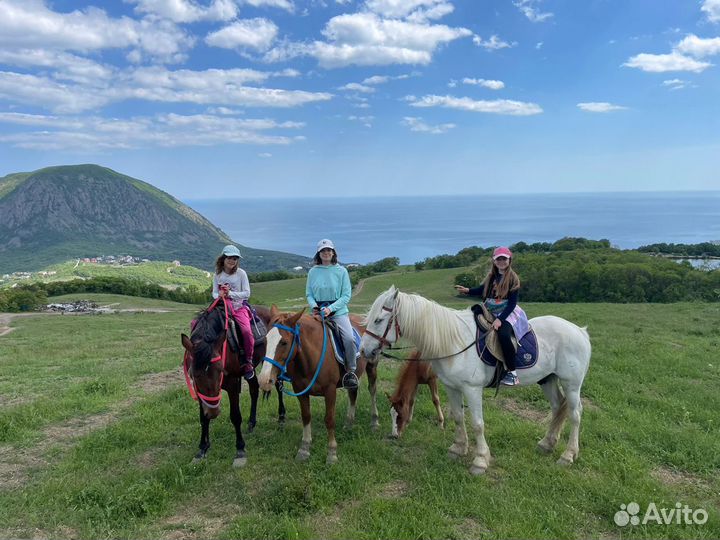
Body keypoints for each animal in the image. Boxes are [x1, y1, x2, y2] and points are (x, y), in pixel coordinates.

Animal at [180, 302, 286, 466]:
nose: (213, 413)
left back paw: (281, 417)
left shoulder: (232, 385)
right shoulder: (199, 391)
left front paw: (240, 450)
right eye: (193, 374)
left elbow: (235, 416)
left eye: (220, 370)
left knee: (278, 386)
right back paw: (251, 423)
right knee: (254, 389)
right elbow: (203, 418)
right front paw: (202, 449)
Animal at [260, 304, 382, 464]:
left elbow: (329, 419)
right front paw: (304, 449)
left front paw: (332, 453)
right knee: (353, 394)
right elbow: (306, 416)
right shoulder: (300, 390)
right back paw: (349, 424)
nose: (264, 380)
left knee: (372, 391)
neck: (312, 357)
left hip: (372, 366)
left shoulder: (330, 391)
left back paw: (374, 422)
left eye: (284, 342)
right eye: (265, 341)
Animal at [360, 284, 592, 474]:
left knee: (575, 414)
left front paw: (480, 460)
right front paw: (457, 448)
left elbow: (477, 423)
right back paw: (547, 444)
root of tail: (580, 331)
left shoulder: (472, 389)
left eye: (379, 320)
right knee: (557, 408)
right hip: (548, 380)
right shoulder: (451, 387)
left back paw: (568, 455)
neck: (451, 340)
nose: (364, 351)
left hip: (571, 384)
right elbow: (457, 417)